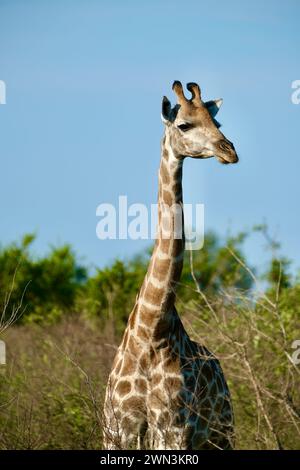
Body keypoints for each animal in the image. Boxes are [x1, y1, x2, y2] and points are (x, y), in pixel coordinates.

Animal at [103, 81, 239, 452]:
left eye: (217, 122)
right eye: (184, 125)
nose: (229, 151)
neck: (152, 330)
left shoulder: (173, 429)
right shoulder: (118, 430)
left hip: (221, 434)